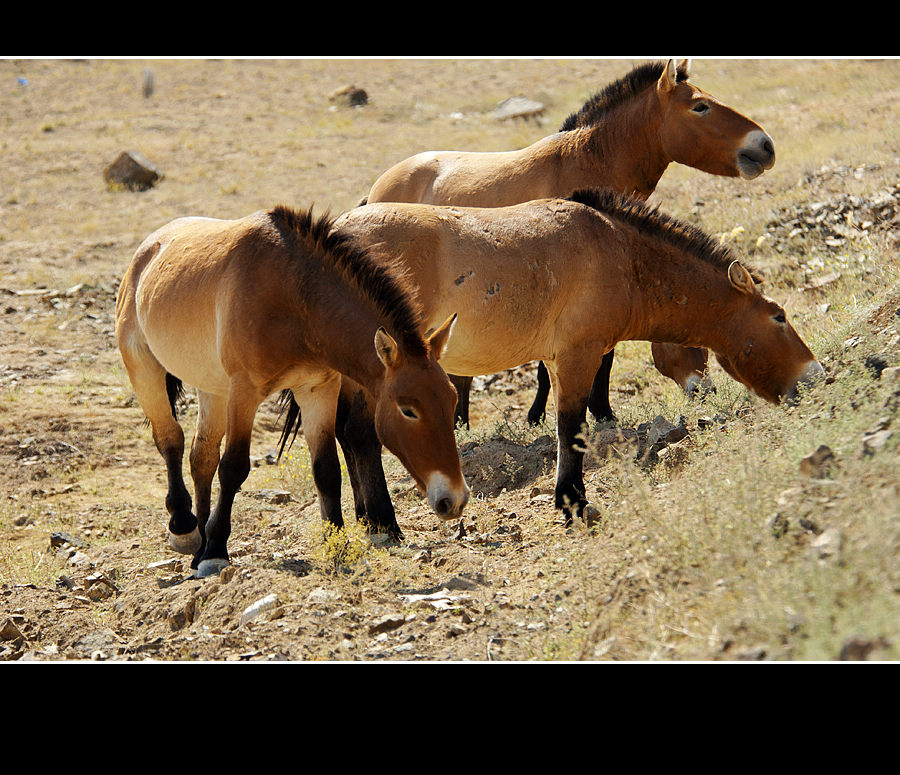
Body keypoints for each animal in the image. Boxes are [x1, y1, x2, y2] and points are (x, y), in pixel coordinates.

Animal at [116, 205, 468, 576]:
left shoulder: (317, 389)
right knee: (171, 440)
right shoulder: (244, 392)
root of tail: (148, 250)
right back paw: (186, 530)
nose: (454, 499)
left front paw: (337, 544)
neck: (295, 295)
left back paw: (198, 545)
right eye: (408, 409)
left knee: (202, 457)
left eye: (452, 400)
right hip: (145, 370)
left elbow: (326, 469)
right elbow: (233, 467)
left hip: (212, 388)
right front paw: (216, 552)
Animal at [318, 189, 824, 524]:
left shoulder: (559, 361)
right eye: (779, 316)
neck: (619, 252)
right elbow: (572, 428)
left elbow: (566, 430)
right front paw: (574, 503)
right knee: (360, 435)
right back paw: (383, 524)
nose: (816, 375)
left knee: (349, 435)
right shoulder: (580, 356)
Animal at [362, 57, 776, 428]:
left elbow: (604, 356)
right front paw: (550, 415)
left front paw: (599, 411)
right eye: (700, 106)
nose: (766, 146)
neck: (583, 162)